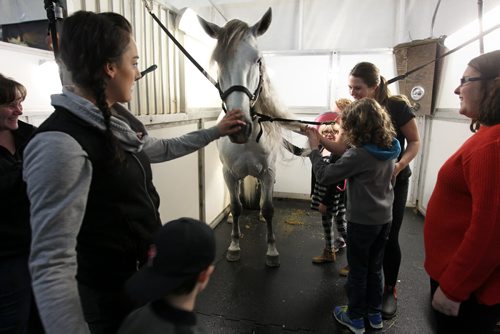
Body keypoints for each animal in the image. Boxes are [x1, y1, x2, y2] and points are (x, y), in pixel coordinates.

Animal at [197, 8, 302, 268]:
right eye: (218, 62)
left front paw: (272, 250)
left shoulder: (268, 172)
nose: (238, 127)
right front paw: (234, 246)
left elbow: (269, 207)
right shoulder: (228, 173)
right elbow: (236, 207)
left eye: (258, 60)